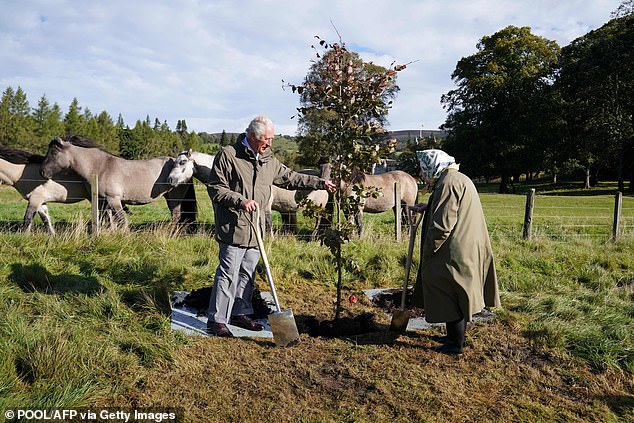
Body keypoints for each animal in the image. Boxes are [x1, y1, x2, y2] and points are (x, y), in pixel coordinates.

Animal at [42, 137, 195, 232]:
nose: (42, 171)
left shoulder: (113, 200)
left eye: (54, 152)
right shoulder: (103, 201)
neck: (101, 166)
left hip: (174, 198)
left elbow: (122, 221)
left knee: (176, 216)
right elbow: (107, 221)